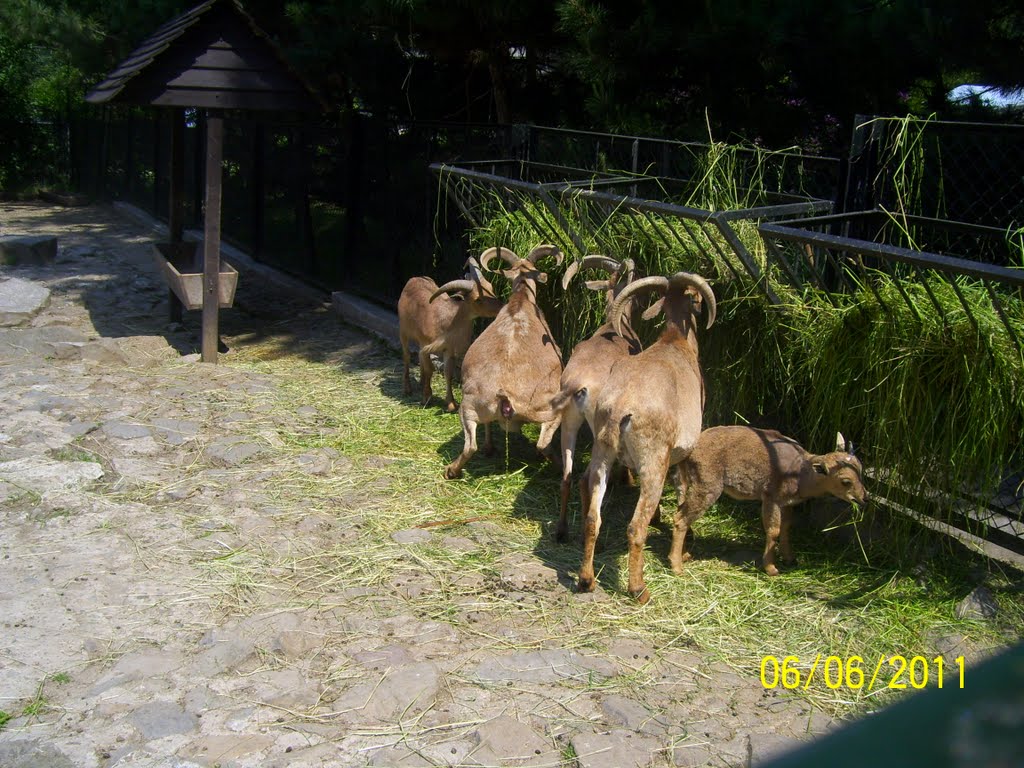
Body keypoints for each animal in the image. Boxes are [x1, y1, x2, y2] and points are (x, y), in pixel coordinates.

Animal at [444, 244, 565, 481]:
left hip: (470, 406)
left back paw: (454, 469)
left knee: (471, 444)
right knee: (543, 443)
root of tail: (505, 395)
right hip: (551, 409)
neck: (521, 300)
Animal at [667, 428, 868, 577]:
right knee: (680, 519)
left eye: (860, 469)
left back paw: (685, 555)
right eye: (845, 481)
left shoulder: (788, 503)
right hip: (708, 488)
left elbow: (786, 528)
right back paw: (677, 567)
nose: (864, 498)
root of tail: (688, 453)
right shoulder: (771, 498)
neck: (801, 474)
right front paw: (771, 568)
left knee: (680, 512)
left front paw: (790, 559)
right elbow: (773, 530)